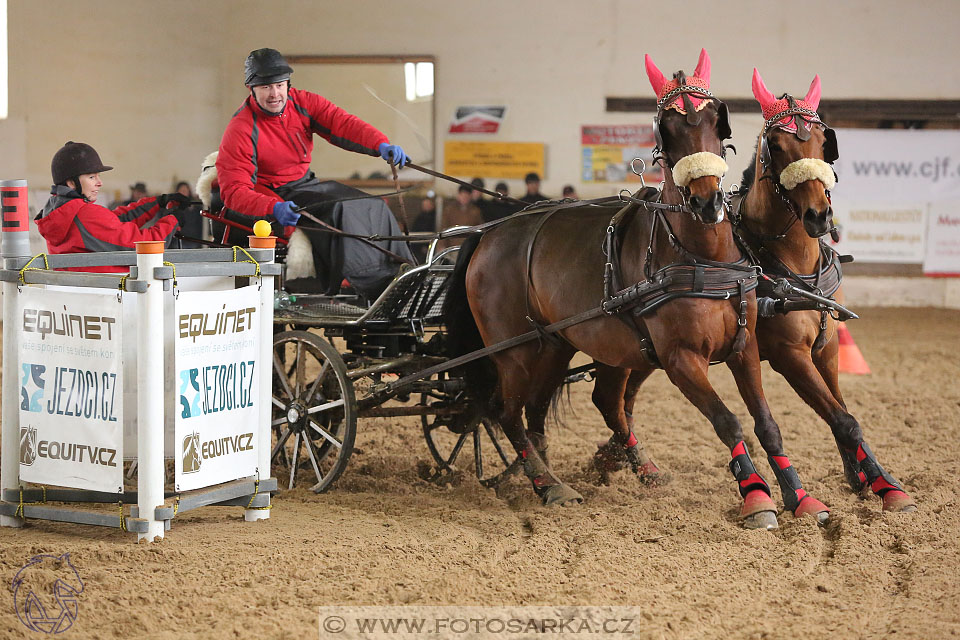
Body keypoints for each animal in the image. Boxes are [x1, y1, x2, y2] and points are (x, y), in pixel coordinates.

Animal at [442, 50, 816, 528]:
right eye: (667, 128)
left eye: (717, 121)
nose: (707, 202)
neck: (702, 258)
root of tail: (488, 233)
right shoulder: (681, 359)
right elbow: (728, 421)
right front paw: (756, 497)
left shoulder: (743, 347)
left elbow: (767, 422)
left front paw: (801, 497)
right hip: (515, 350)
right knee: (508, 413)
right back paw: (548, 484)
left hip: (556, 345)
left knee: (541, 410)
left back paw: (559, 474)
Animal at [612, 69, 920, 516]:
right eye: (777, 145)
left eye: (823, 141)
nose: (819, 215)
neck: (795, 264)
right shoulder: (789, 354)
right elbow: (841, 419)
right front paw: (867, 485)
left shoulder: (827, 347)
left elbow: (841, 412)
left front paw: (871, 478)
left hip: (650, 354)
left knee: (623, 397)